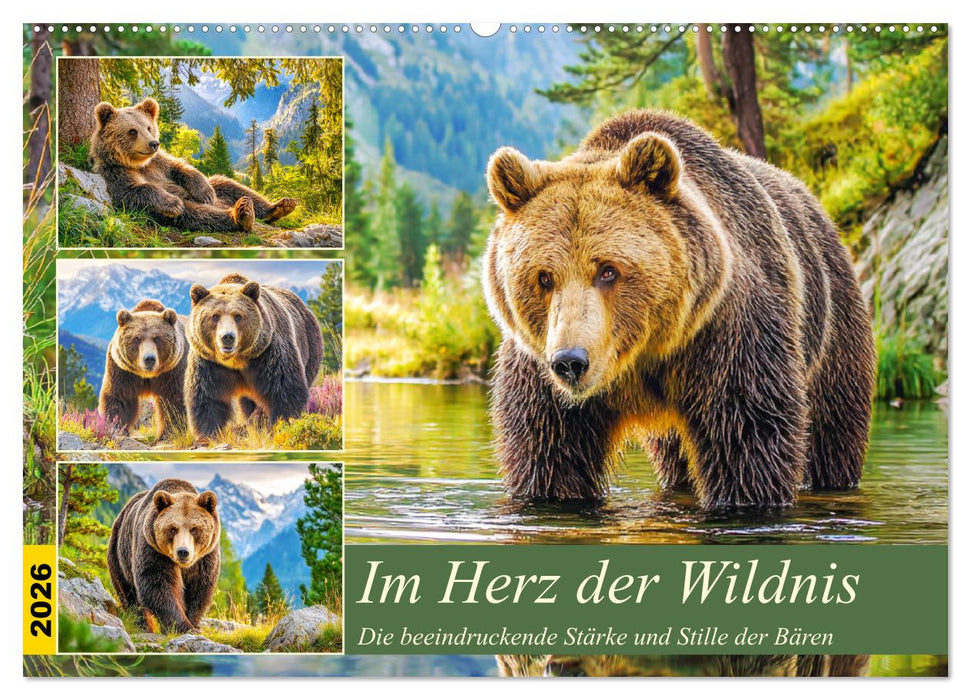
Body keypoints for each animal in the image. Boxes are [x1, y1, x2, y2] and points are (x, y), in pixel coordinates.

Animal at [90, 98, 297, 233]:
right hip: (177, 211)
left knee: (229, 184)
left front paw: (205, 193)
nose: (153, 143)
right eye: (133, 131)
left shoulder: (160, 163)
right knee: (195, 213)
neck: (140, 164)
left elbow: (181, 168)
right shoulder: (116, 173)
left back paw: (279, 206)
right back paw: (241, 214)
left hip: (222, 190)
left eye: (149, 127)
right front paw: (171, 202)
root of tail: (224, 204)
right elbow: (135, 191)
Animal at [98, 299, 188, 442]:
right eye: (137, 338)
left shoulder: (173, 370)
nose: (149, 359)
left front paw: (168, 434)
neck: (147, 375)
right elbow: (119, 397)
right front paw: (116, 429)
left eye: (157, 338)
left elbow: (174, 401)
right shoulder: (123, 370)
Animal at [107, 478, 220, 633]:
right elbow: (159, 585)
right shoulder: (153, 549)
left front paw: (193, 624)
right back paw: (142, 624)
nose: (183, 551)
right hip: (119, 553)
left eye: (194, 529)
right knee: (128, 592)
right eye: (172, 529)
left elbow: (199, 590)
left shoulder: (205, 558)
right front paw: (182, 626)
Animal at [184, 273, 324, 441]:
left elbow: (284, 389)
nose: (227, 337)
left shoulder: (268, 353)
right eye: (215, 316)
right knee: (246, 403)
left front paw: (279, 424)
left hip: (310, 347)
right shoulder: (209, 362)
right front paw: (208, 434)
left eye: (238, 316)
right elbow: (208, 397)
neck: (236, 360)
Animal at [483, 109, 875, 509]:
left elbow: (746, 438)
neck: (640, 355)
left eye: (608, 270)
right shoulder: (541, 369)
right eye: (544, 277)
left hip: (832, 327)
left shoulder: (725, 335)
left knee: (832, 428)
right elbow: (551, 453)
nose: (571, 362)